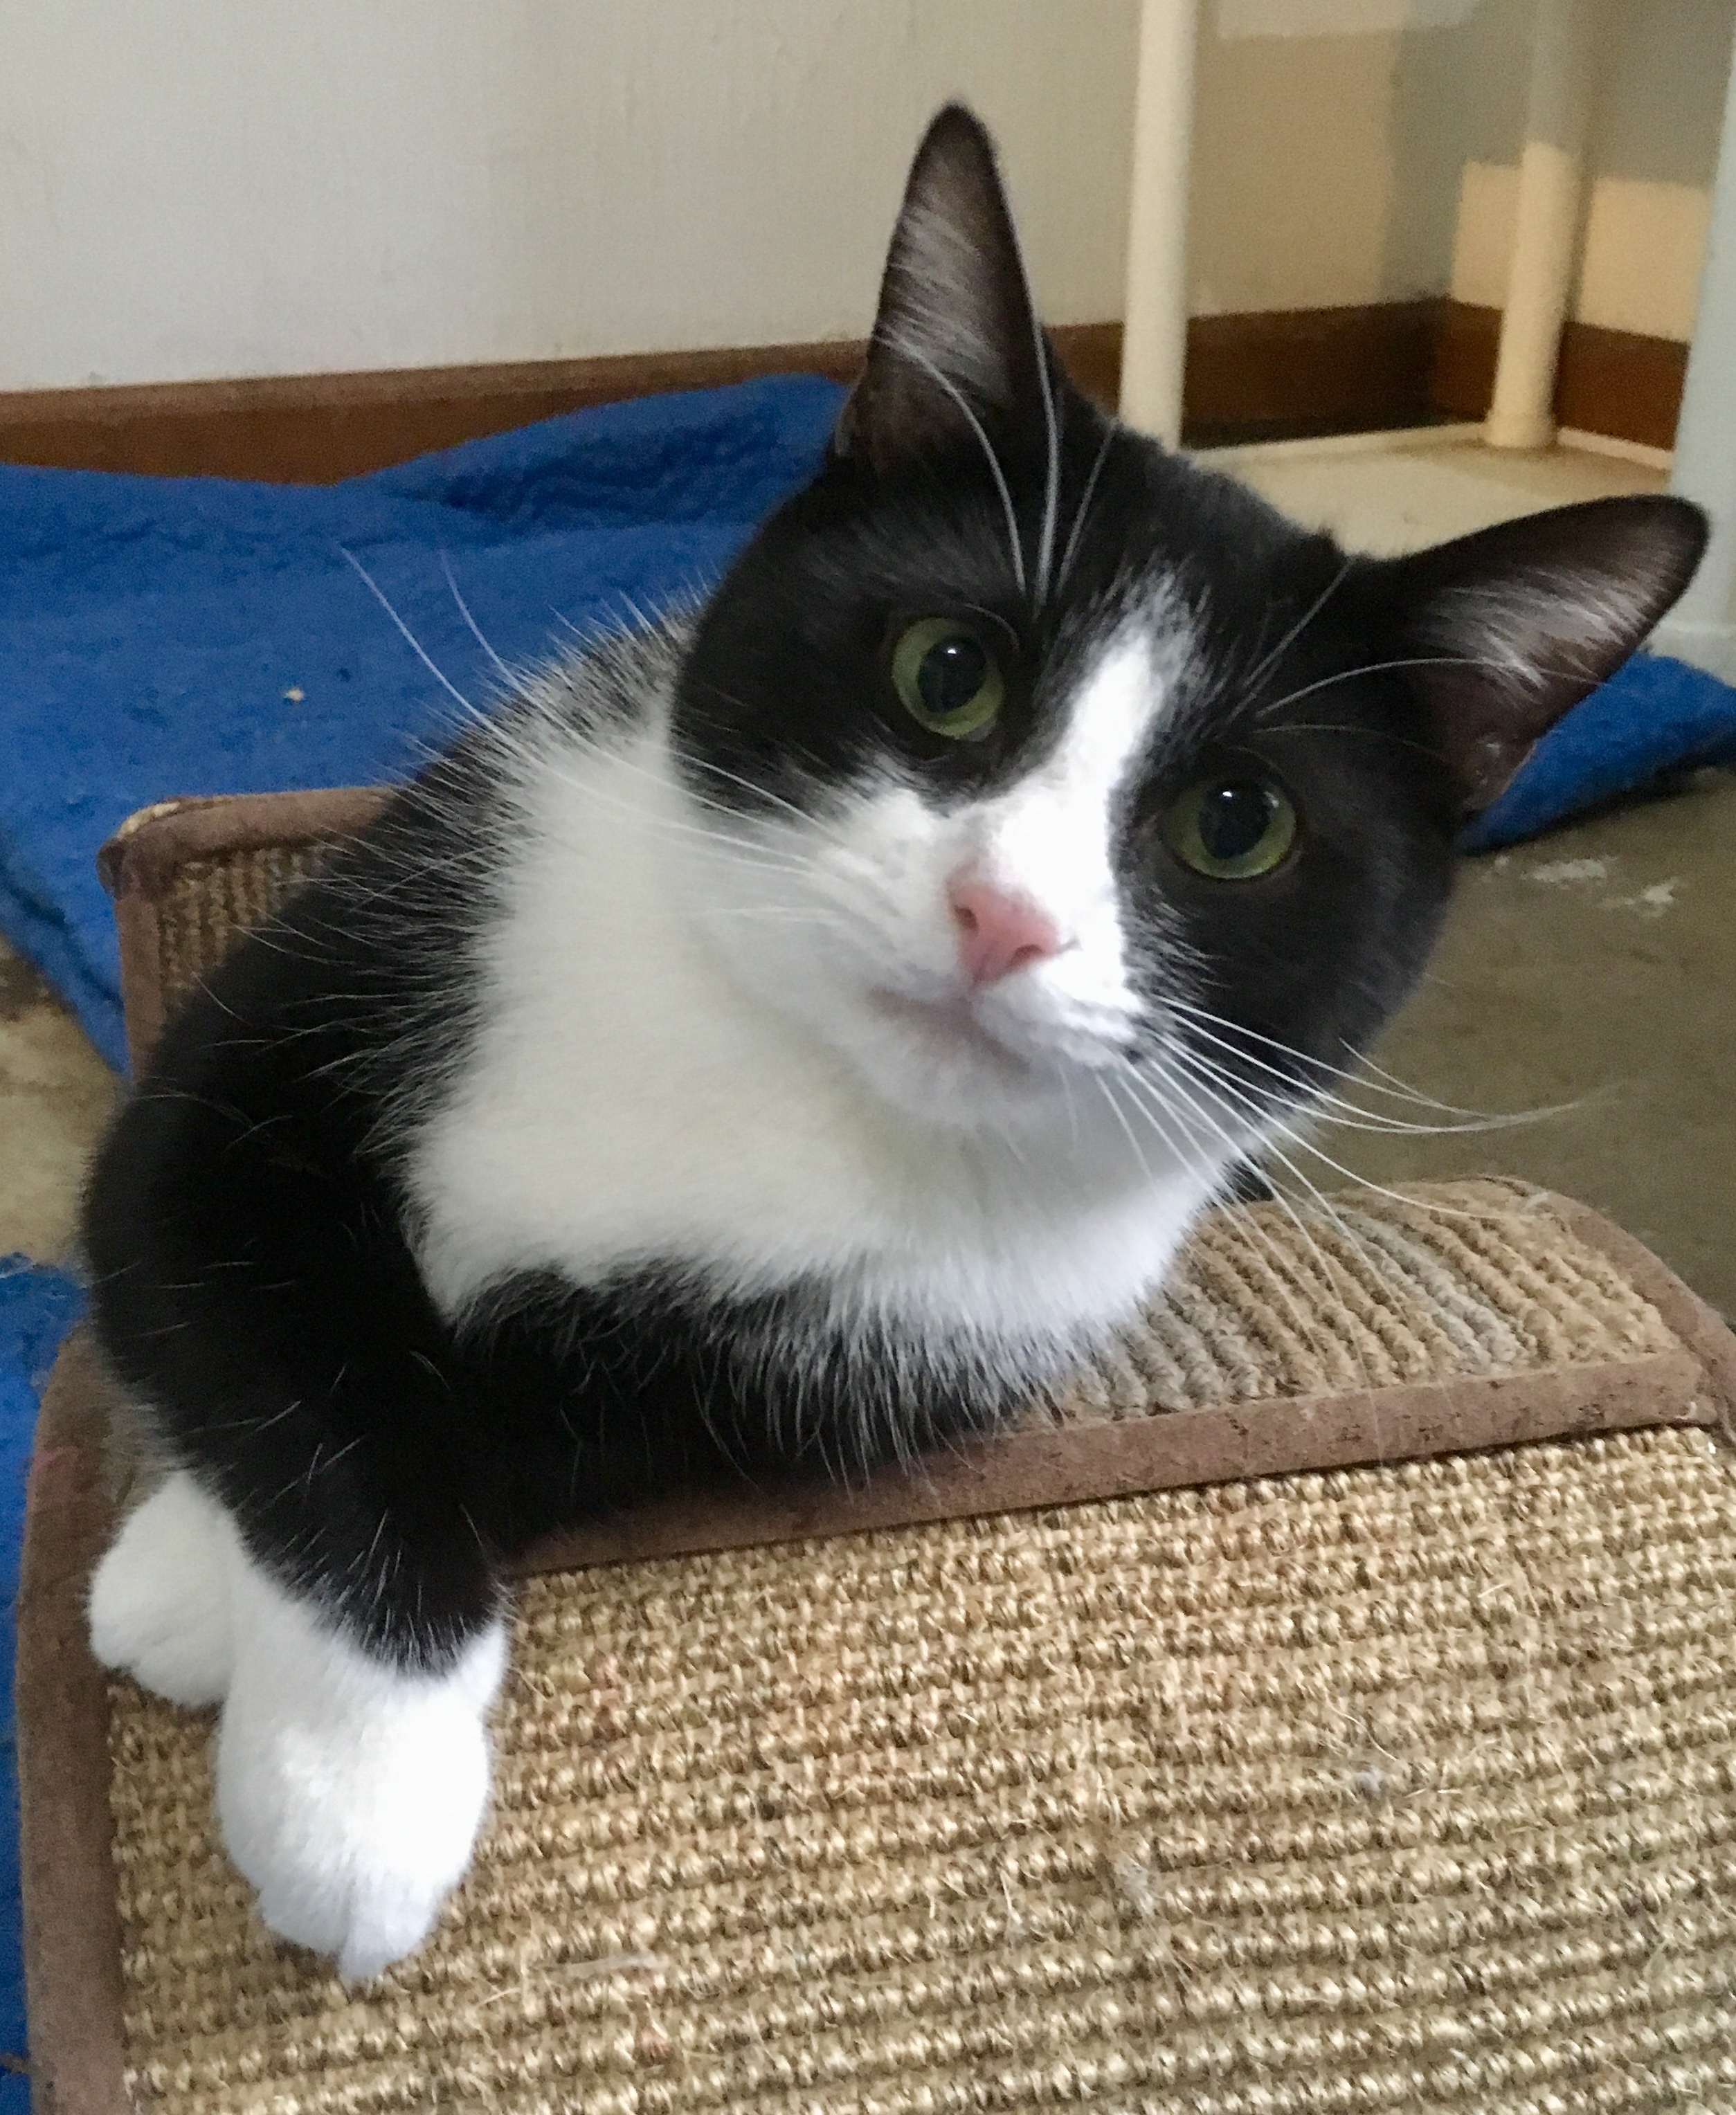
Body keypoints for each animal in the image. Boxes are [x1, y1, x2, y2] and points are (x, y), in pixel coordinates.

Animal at [84, 102, 1708, 1979]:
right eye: (948, 671)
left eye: (1235, 825)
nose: (1002, 916)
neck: (790, 1072)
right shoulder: (343, 971)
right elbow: (224, 1270)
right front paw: (295, 1706)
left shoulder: (893, 1346)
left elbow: (502, 1414)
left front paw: (318, 1759)